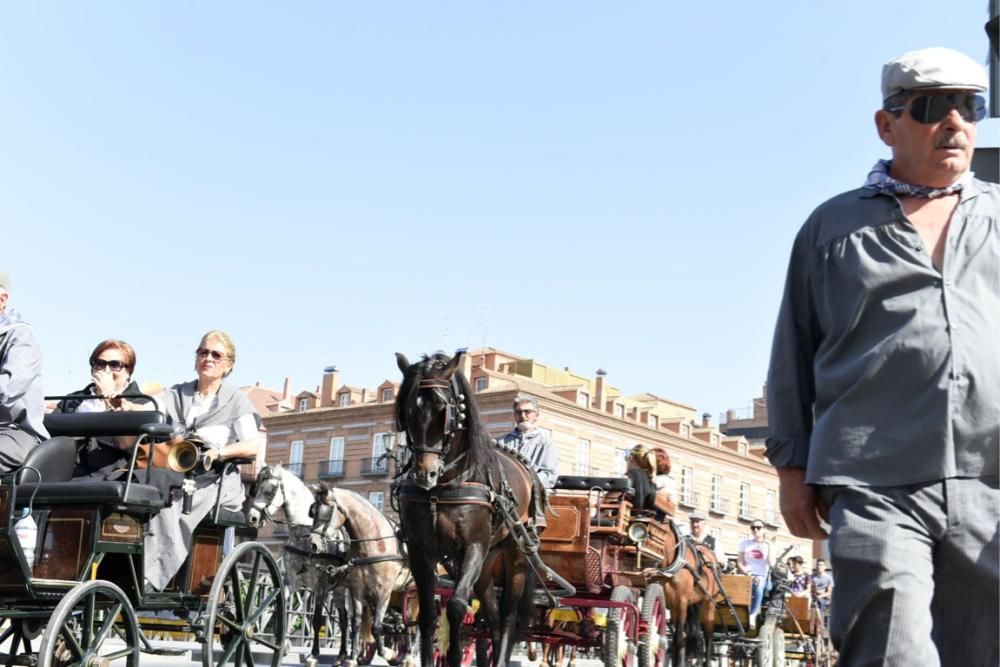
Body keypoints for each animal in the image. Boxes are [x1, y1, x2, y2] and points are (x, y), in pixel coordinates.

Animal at [248, 464, 358, 667]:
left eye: (268, 491)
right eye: (256, 489)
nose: (252, 518)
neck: (304, 535)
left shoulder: (320, 585)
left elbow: (316, 620)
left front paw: (313, 654)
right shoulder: (292, 582)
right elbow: (281, 607)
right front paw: (284, 644)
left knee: (354, 619)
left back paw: (350, 655)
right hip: (338, 590)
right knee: (344, 617)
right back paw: (341, 654)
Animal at [308, 482, 410, 664]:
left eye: (327, 512)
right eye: (313, 511)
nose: (313, 544)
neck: (375, 544)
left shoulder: (384, 591)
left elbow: (376, 626)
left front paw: (387, 653)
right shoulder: (357, 590)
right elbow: (356, 623)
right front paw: (353, 656)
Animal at [392, 352, 540, 664]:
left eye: (444, 411)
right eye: (407, 412)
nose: (424, 474)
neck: (443, 486)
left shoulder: (473, 547)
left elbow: (457, 607)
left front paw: (453, 656)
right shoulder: (421, 549)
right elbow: (428, 615)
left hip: (515, 557)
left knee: (507, 617)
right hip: (487, 564)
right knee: (492, 616)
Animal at [652, 524, 724, 664]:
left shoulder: (681, 602)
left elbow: (679, 637)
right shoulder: (671, 604)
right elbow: (676, 637)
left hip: (708, 603)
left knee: (708, 635)